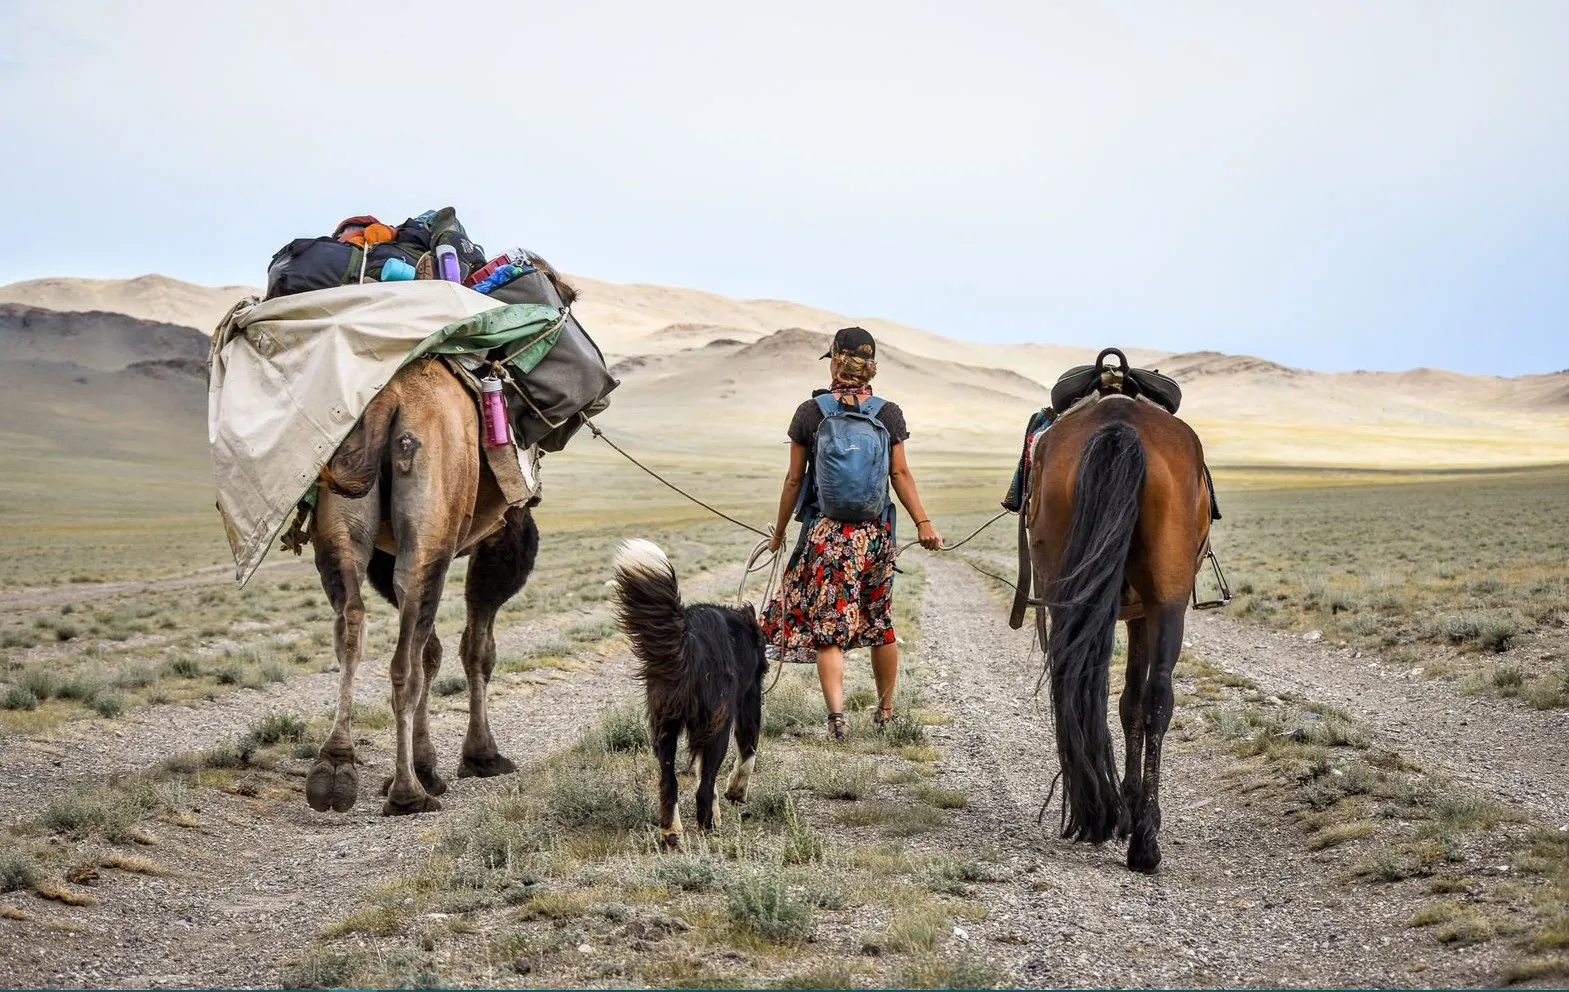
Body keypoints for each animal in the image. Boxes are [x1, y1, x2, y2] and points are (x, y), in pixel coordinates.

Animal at [299, 262, 577, 816]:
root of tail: (388, 399)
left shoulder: (389, 558)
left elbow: (434, 649)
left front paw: (430, 765)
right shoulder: (502, 538)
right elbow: (476, 648)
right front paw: (479, 757)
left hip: (346, 513)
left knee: (352, 624)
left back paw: (336, 767)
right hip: (431, 527)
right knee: (404, 660)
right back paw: (407, 793)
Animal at [605, 539, 765, 847]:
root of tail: (688, 640)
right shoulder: (749, 698)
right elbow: (747, 752)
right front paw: (736, 791)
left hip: (664, 725)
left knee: (668, 782)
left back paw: (672, 832)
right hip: (717, 724)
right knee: (703, 786)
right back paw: (708, 828)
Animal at [1029, 390, 1211, 872]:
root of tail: (1120, 423)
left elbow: (1128, 702)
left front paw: (1123, 807)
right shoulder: (1144, 614)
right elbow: (1134, 701)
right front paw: (1131, 805)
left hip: (1069, 591)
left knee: (1074, 683)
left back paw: (1103, 816)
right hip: (1167, 601)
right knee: (1160, 698)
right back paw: (1144, 837)